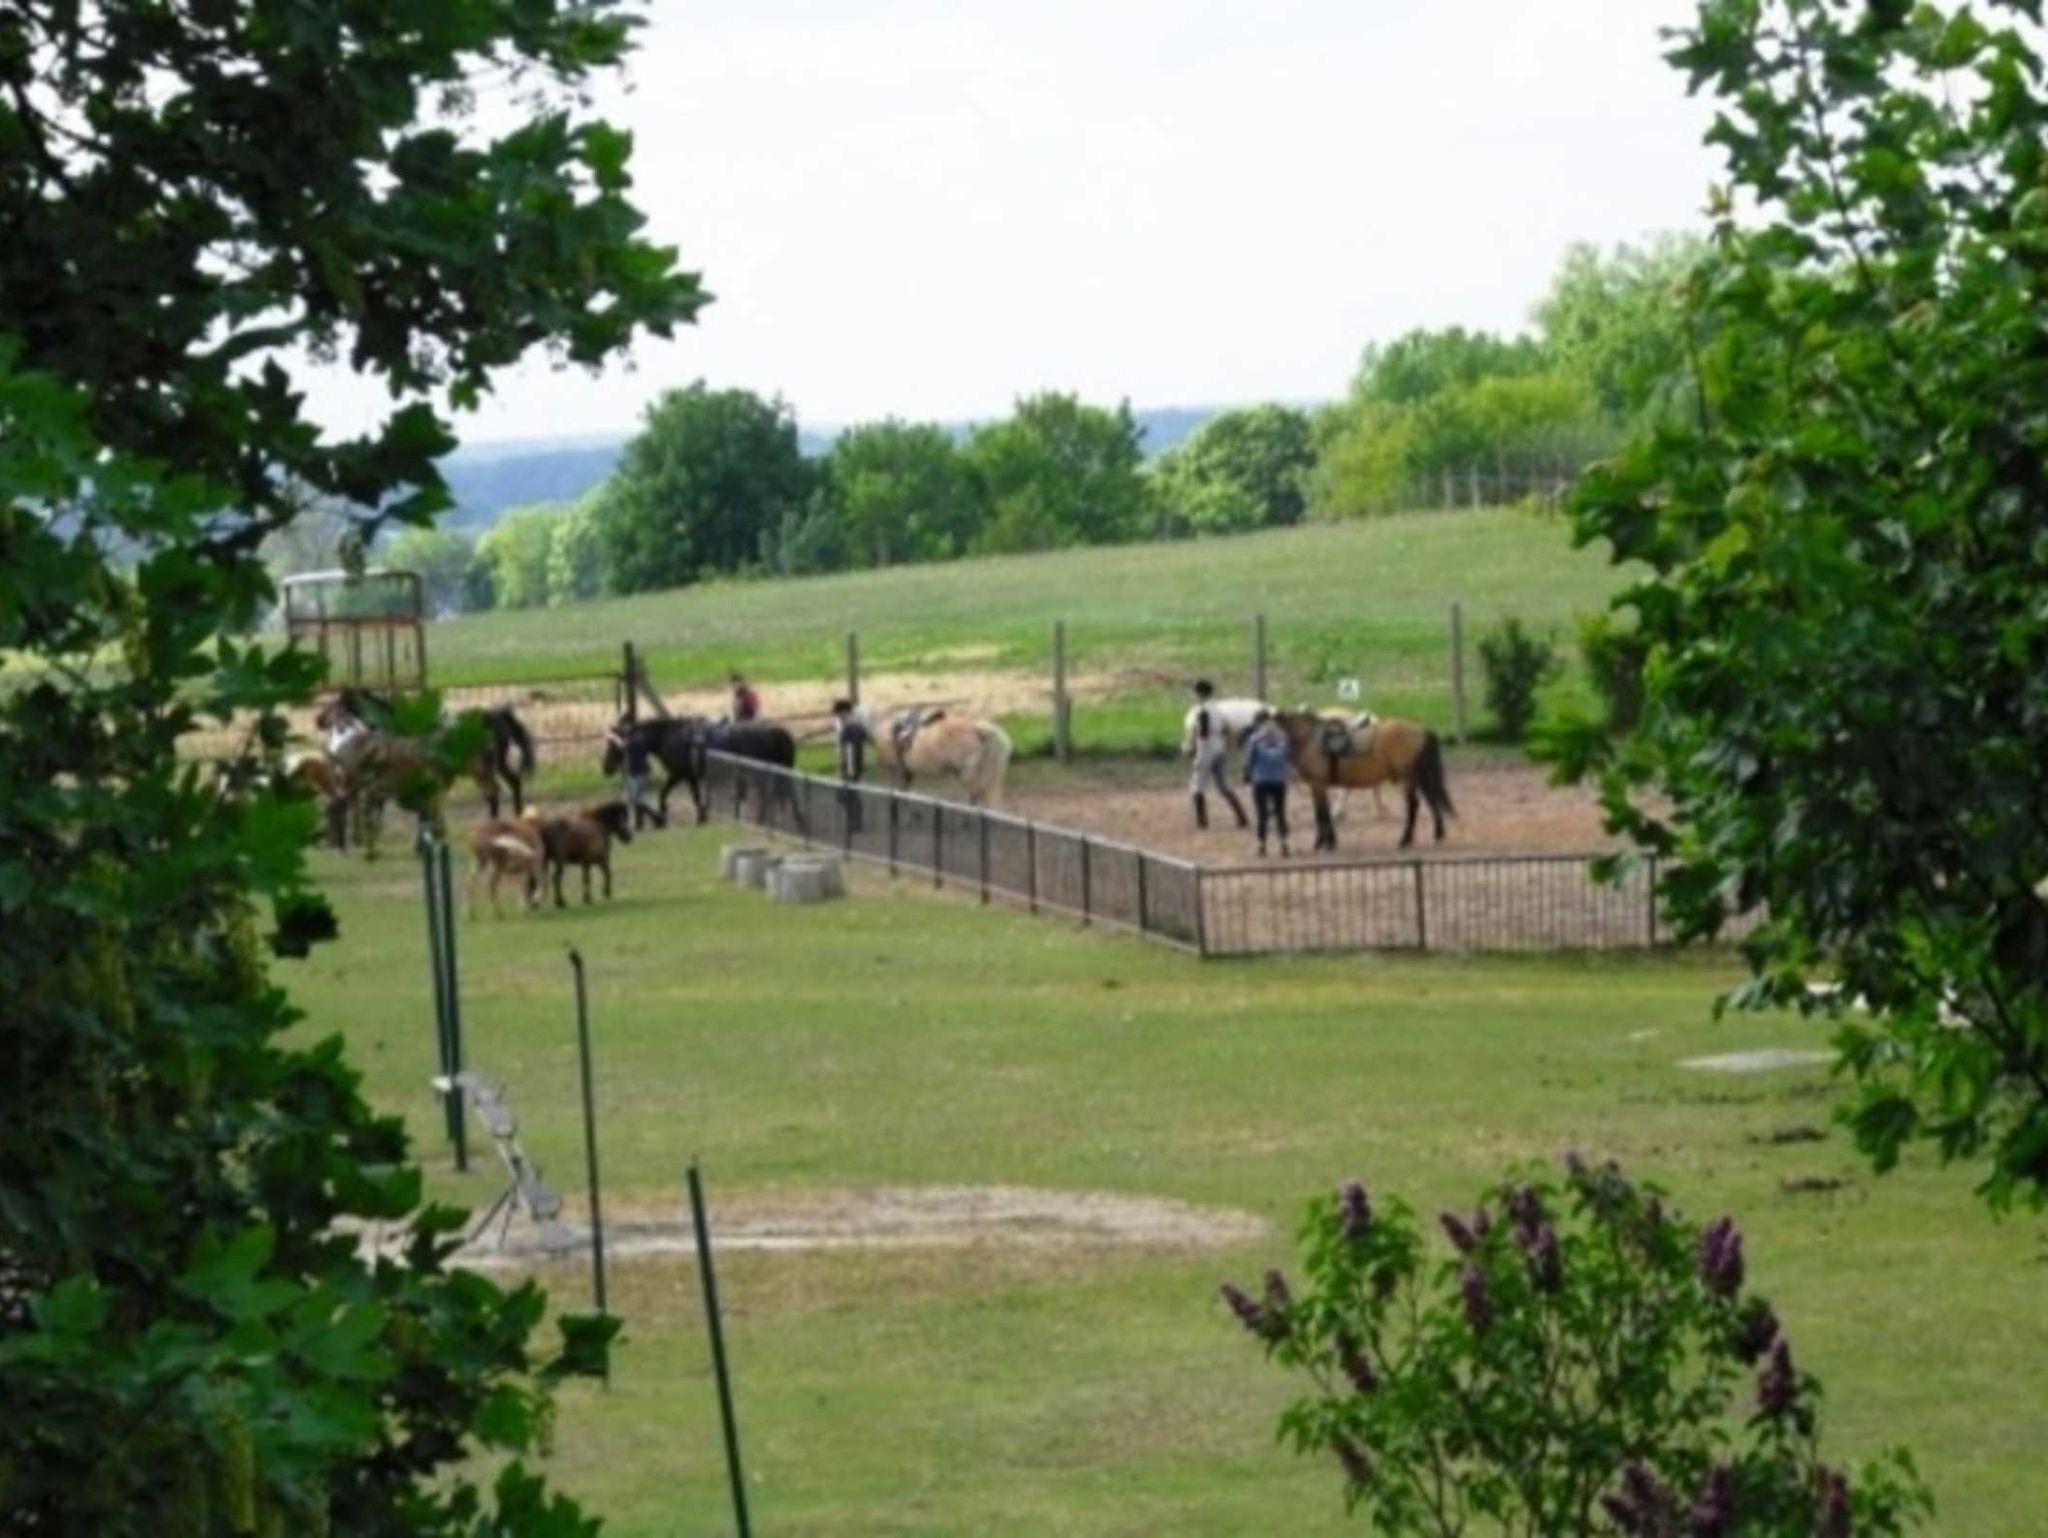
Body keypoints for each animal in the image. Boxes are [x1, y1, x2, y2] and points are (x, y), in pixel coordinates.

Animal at [872, 708, 1012, 805]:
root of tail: (978, 729)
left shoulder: (898, 772)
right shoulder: (906, 774)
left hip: (969, 776)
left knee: (974, 798)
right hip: (986, 777)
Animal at [1271, 709, 1455, 850]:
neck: (1310, 739)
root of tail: (1420, 731)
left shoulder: (1318, 784)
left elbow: (1322, 815)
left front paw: (1323, 843)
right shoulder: (1317, 786)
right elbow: (1323, 813)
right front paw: (1328, 842)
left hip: (1407, 778)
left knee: (1414, 805)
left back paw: (1405, 839)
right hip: (1416, 776)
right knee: (1431, 800)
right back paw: (1437, 835)